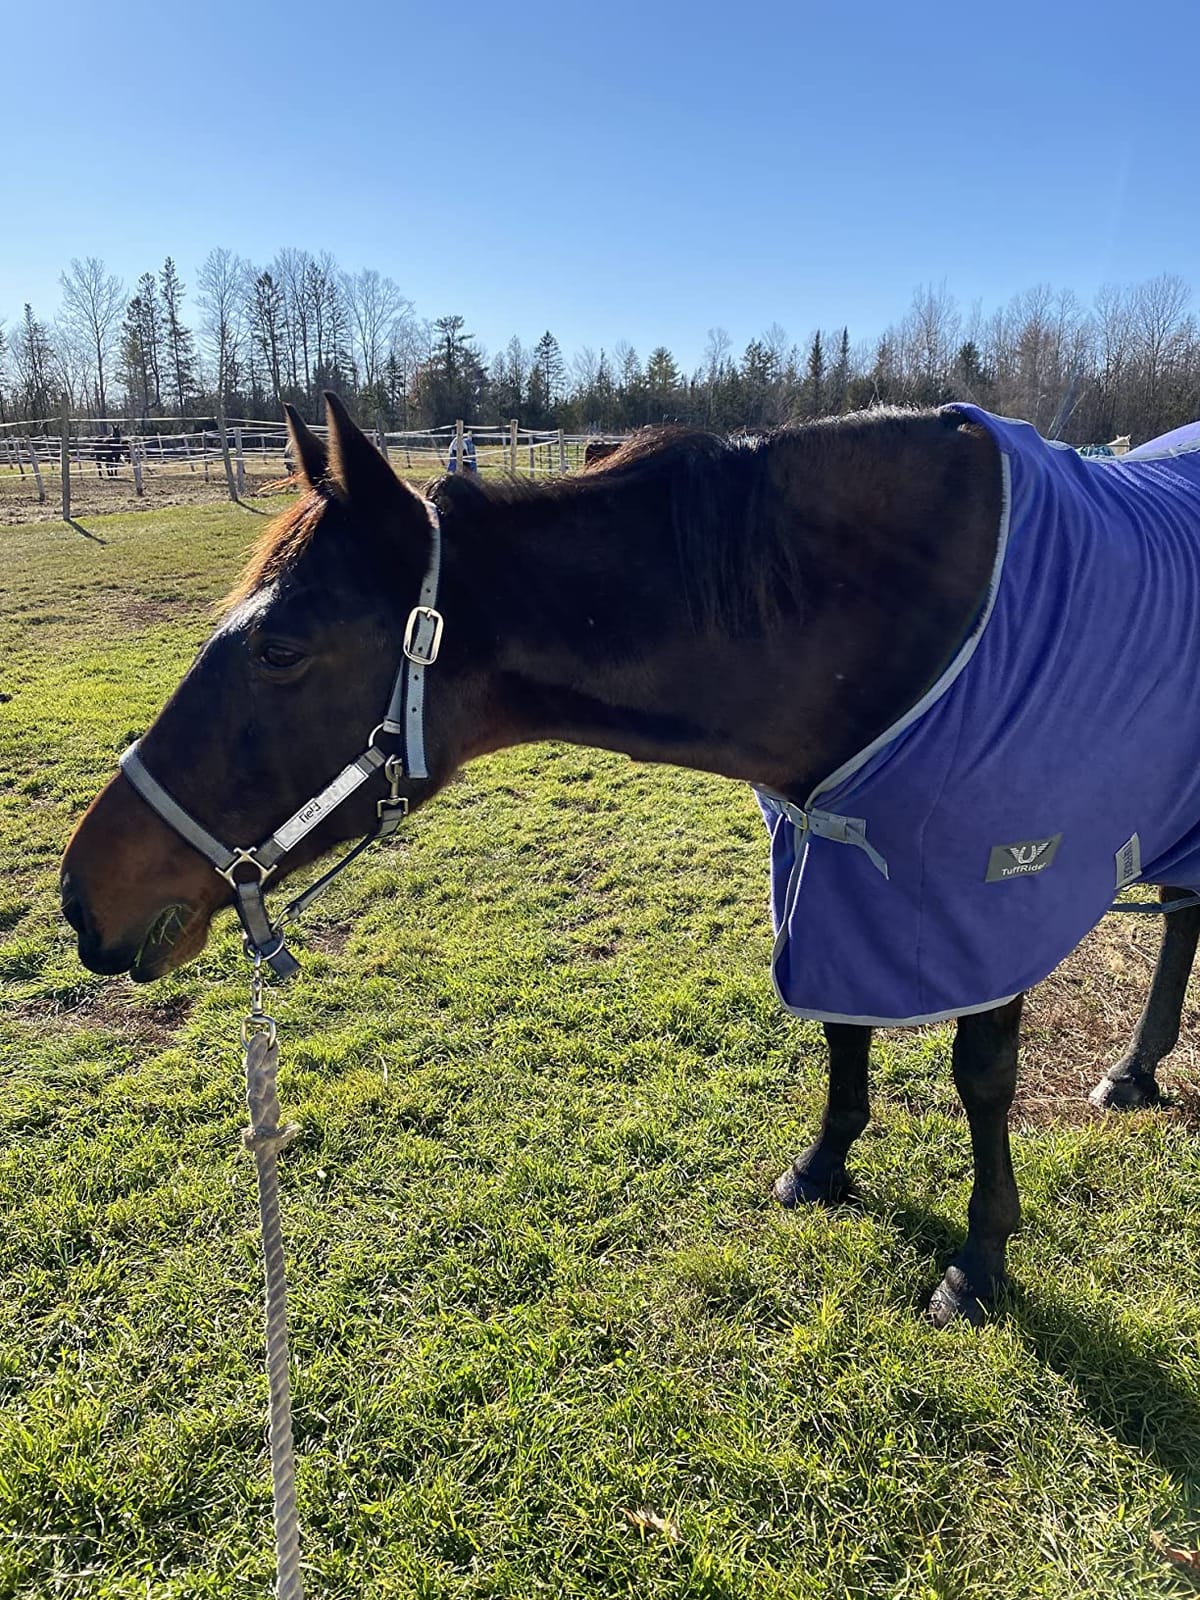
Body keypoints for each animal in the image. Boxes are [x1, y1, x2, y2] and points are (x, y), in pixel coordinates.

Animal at [60, 392, 1200, 1327]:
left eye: (280, 650)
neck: (886, 607)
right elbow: (840, 1024)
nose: (81, 897)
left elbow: (981, 1076)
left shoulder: (993, 893)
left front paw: (980, 1256)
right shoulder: (825, 866)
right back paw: (1135, 1070)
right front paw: (823, 1166)